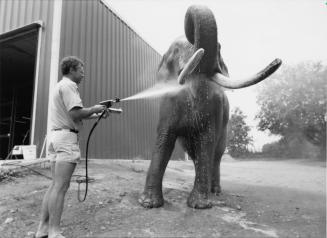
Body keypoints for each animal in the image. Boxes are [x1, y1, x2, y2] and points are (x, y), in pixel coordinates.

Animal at [138, 4, 282, 208]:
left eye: (219, 48)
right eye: (177, 50)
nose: (277, 61)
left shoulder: (214, 109)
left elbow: (206, 140)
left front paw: (199, 205)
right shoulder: (168, 103)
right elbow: (165, 138)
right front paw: (148, 204)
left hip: (225, 128)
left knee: (216, 154)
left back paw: (215, 191)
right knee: (195, 153)